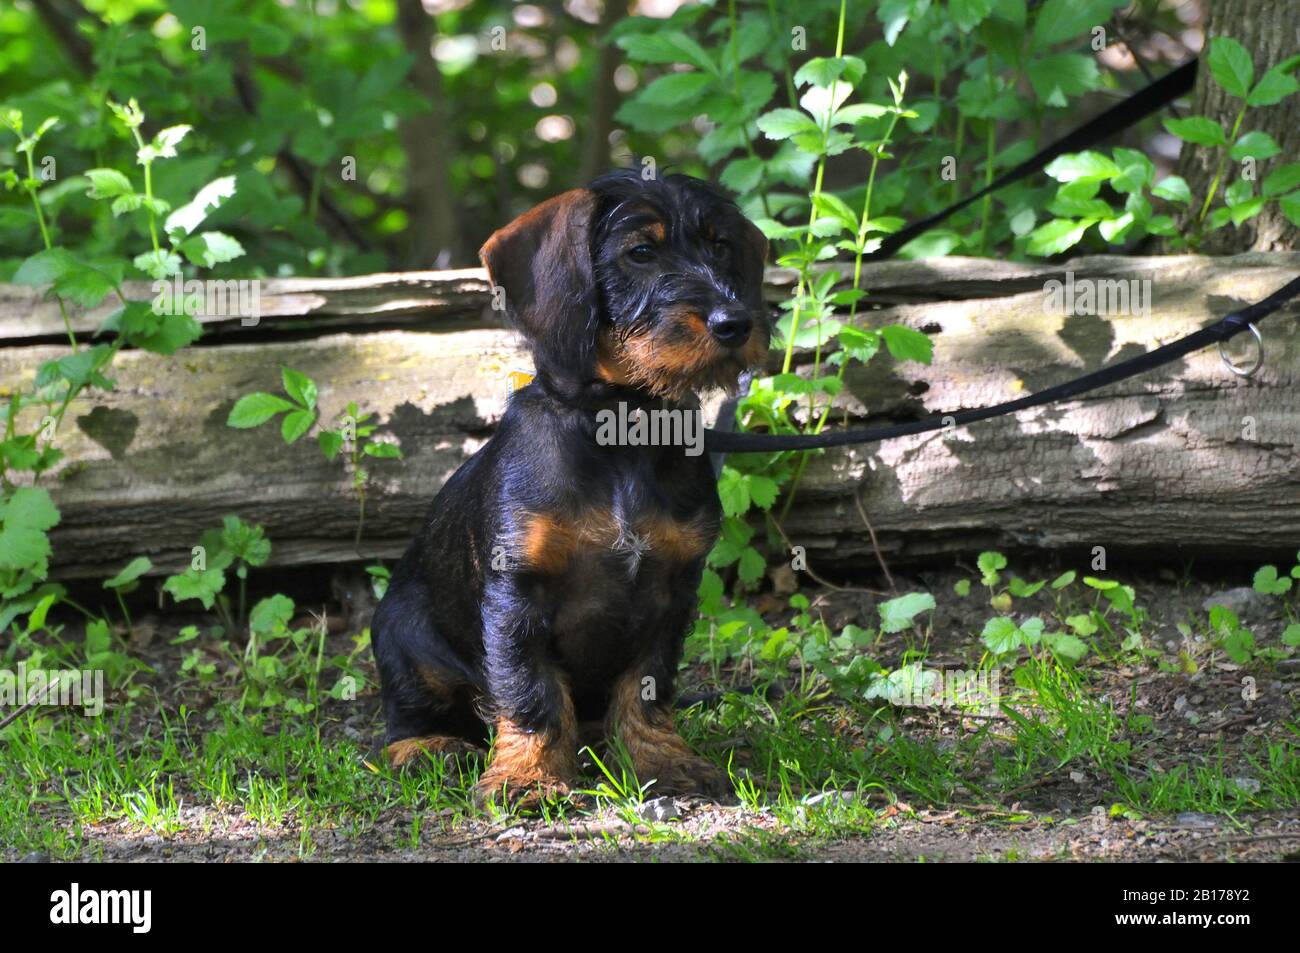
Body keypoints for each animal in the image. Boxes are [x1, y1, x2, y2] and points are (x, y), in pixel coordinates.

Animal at [371, 171, 764, 800]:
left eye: (721, 246)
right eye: (641, 252)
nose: (736, 323)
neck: (621, 428)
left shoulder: (673, 589)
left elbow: (648, 685)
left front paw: (661, 759)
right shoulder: (517, 596)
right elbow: (531, 691)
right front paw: (527, 776)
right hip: (404, 639)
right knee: (410, 712)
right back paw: (428, 747)